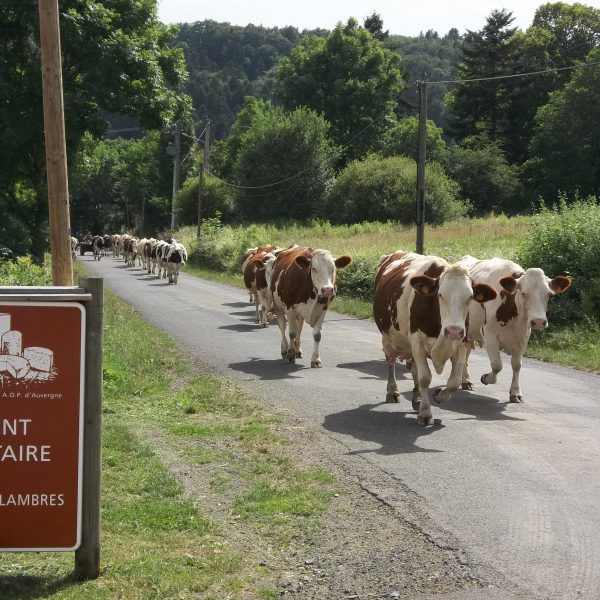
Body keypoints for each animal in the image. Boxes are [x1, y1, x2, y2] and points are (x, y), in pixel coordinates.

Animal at [376, 251, 496, 424]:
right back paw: (392, 392)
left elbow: (454, 382)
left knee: (414, 369)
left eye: (470, 297)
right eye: (440, 294)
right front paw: (425, 413)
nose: (453, 331)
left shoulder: (461, 344)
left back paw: (417, 399)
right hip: (388, 338)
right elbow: (425, 377)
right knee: (391, 362)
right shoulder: (417, 342)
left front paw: (438, 395)